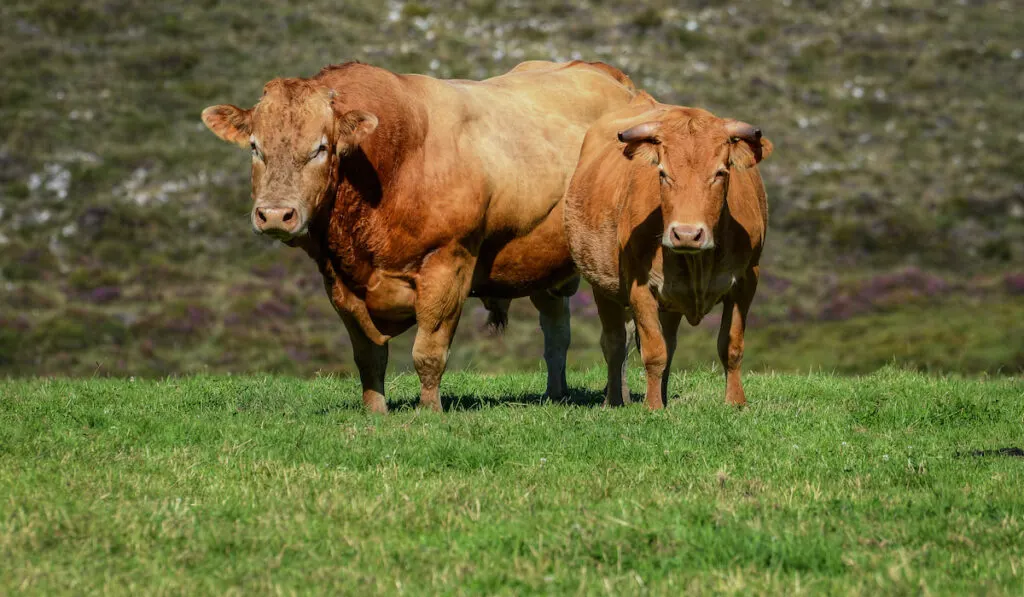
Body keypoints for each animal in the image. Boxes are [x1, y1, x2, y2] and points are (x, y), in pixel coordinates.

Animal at [200, 62, 634, 413]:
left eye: (321, 148)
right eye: (255, 147)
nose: (275, 214)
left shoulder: (448, 264)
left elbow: (428, 351)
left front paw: (429, 412)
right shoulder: (340, 285)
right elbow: (368, 356)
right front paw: (375, 411)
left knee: (622, 332)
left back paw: (620, 397)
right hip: (544, 263)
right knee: (557, 329)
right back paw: (555, 394)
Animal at [565, 93, 770, 411]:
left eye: (720, 173)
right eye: (662, 173)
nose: (686, 234)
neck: (699, 262)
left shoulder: (747, 280)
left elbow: (731, 345)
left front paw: (736, 402)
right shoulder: (639, 285)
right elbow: (653, 351)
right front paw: (652, 407)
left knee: (669, 343)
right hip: (602, 286)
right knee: (614, 343)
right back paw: (614, 400)